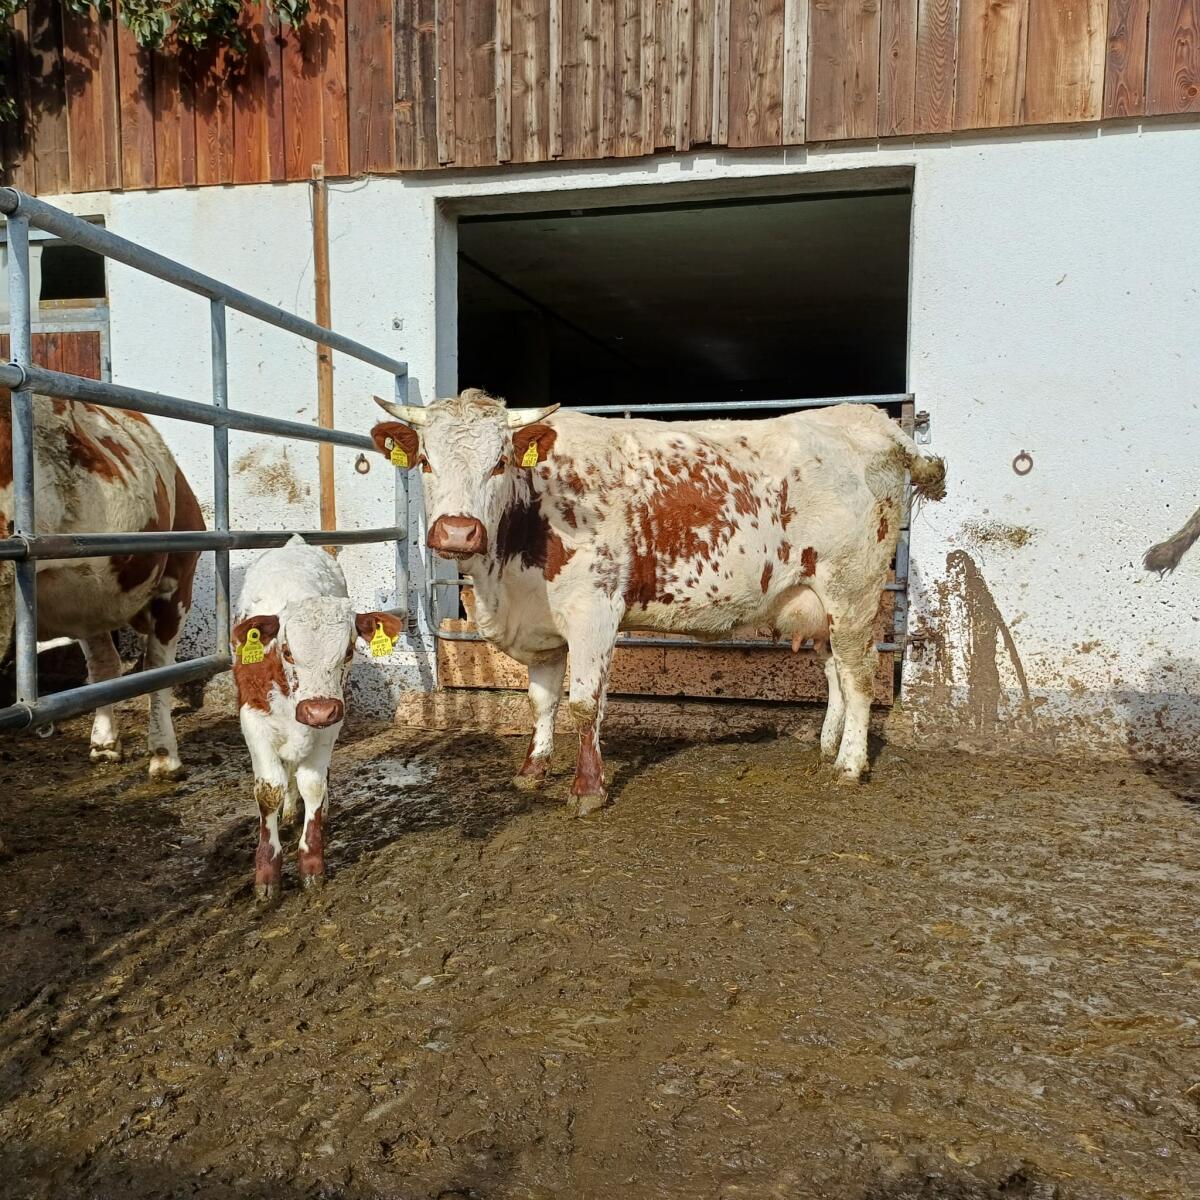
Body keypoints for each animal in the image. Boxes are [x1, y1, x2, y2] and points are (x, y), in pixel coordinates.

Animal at [1, 393, 202, 777]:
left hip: (176, 580)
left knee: (157, 667)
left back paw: (164, 754)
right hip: (85, 602)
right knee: (105, 666)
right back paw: (106, 743)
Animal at [232, 535, 405, 900]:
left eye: (349, 651)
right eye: (286, 651)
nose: (317, 710)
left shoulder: (331, 722)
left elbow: (311, 783)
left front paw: (312, 863)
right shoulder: (253, 720)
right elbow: (268, 790)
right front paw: (266, 873)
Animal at [370, 389, 946, 812]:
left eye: (500, 462)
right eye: (425, 461)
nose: (457, 532)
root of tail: (869, 418)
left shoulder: (594, 611)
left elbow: (584, 704)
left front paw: (588, 789)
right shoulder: (540, 623)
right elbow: (542, 701)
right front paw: (532, 771)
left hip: (853, 592)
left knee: (859, 674)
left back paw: (849, 765)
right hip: (817, 600)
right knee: (834, 672)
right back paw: (828, 747)